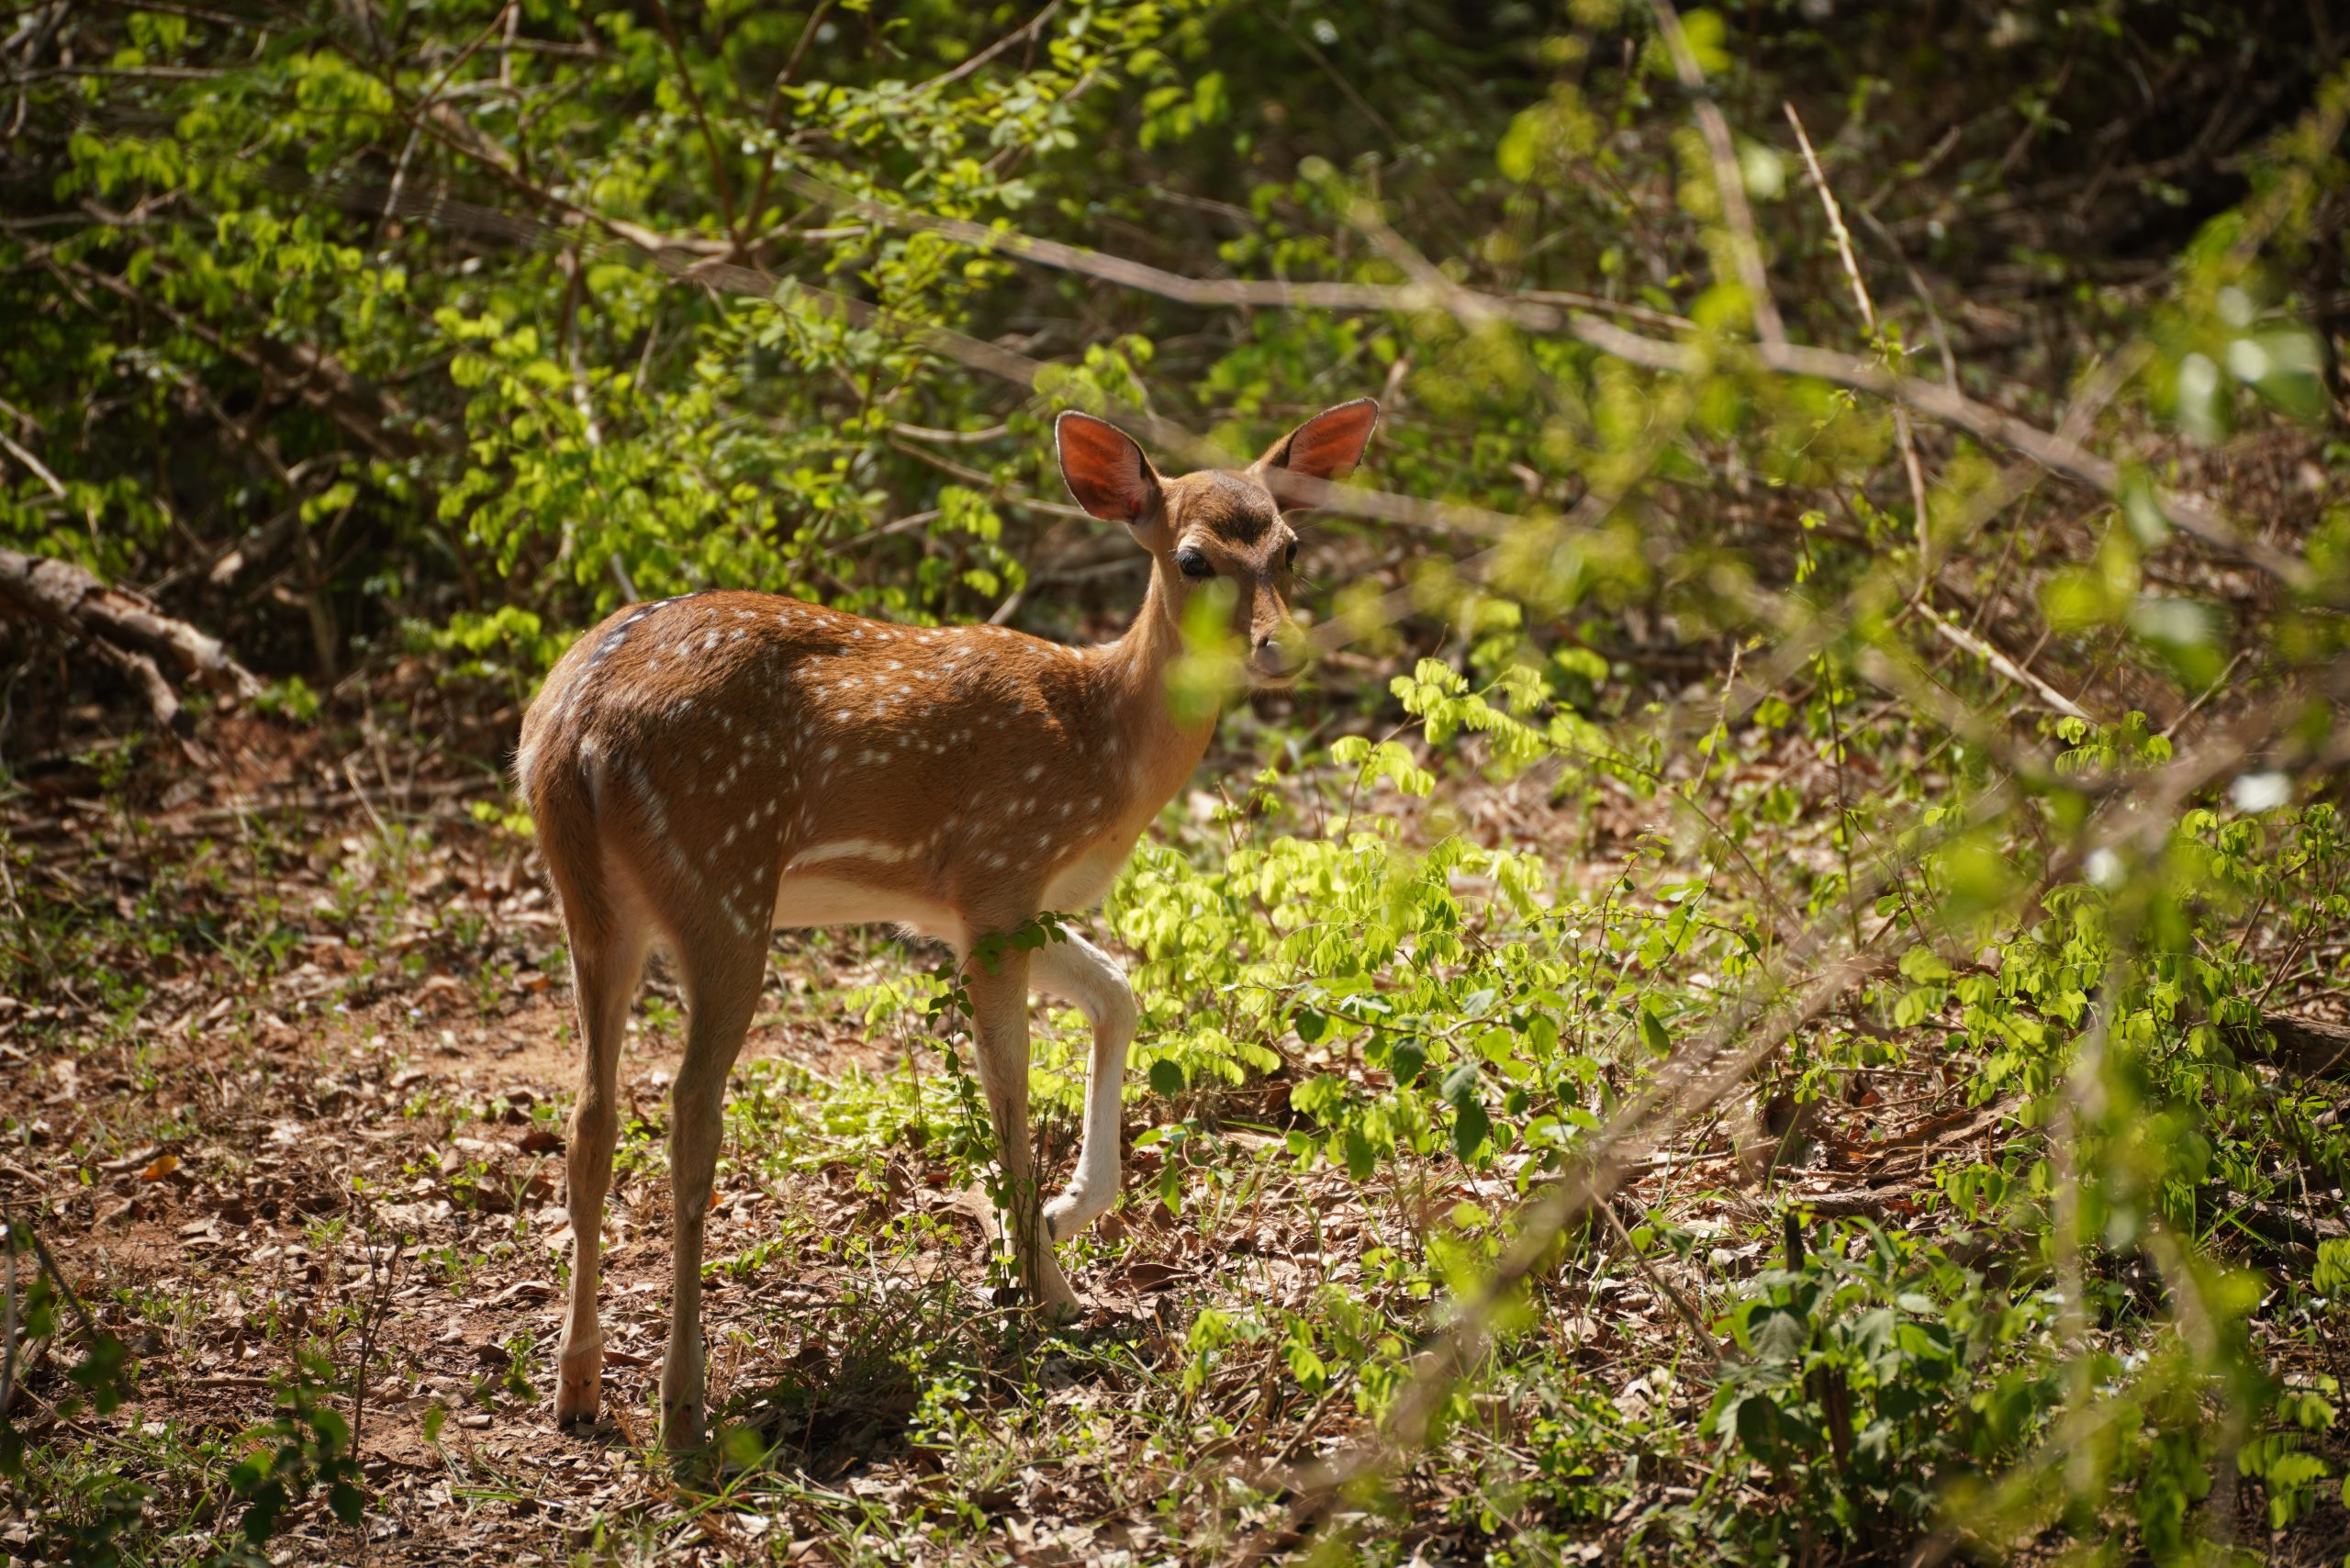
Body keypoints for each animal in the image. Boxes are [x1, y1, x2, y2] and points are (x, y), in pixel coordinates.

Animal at [513, 398, 1380, 1448]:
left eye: (1290, 547)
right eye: (1194, 558)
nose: (1280, 648)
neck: (1102, 747)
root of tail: (574, 732)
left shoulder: (985, 905)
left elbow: (1118, 995)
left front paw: (1056, 1216)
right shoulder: (1001, 872)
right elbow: (1010, 1081)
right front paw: (1047, 1285)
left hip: (594, 905)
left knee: (589, 1115)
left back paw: (578, 1385)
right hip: (724, 881)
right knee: (688, 1112)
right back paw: (685, 1408)